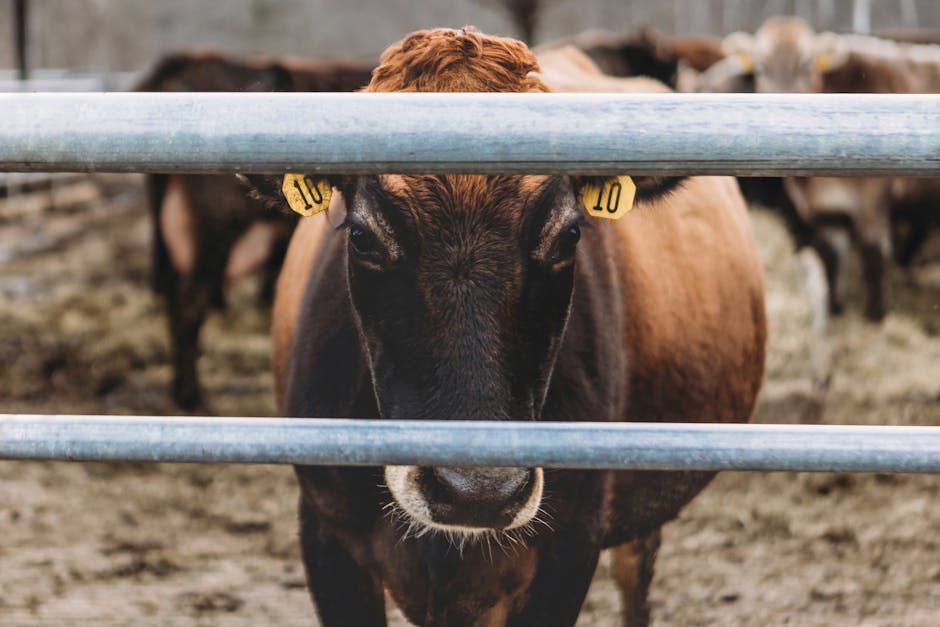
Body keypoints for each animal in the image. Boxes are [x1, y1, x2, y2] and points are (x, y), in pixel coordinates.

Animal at [711, 16, 940, 321]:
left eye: (807, 64)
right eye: (761, 65)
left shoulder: (872, 200)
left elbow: (874, 254)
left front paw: (875, 316)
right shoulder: (824, 213)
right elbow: (832, 256)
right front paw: (836, 307)